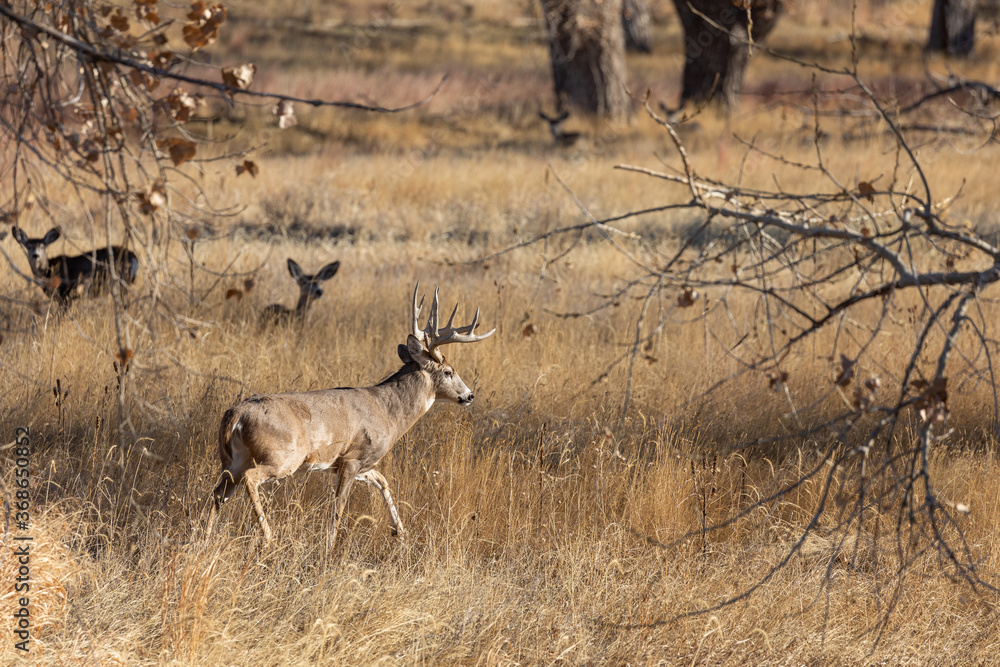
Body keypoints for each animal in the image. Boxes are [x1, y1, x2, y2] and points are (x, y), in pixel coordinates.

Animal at [205, 283, 495, 549]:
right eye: (448, 371)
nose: (470, 395)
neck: (389, 412)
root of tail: (235, 416)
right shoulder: (352, 458)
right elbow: (339, 507)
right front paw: (329, 547)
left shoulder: (356, 462)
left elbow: (383, 481)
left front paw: (400, 533)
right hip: (282, 455)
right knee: (250, 480)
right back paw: (268, 537)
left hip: (233, 460)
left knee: (218, 493)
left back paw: (205, 540)